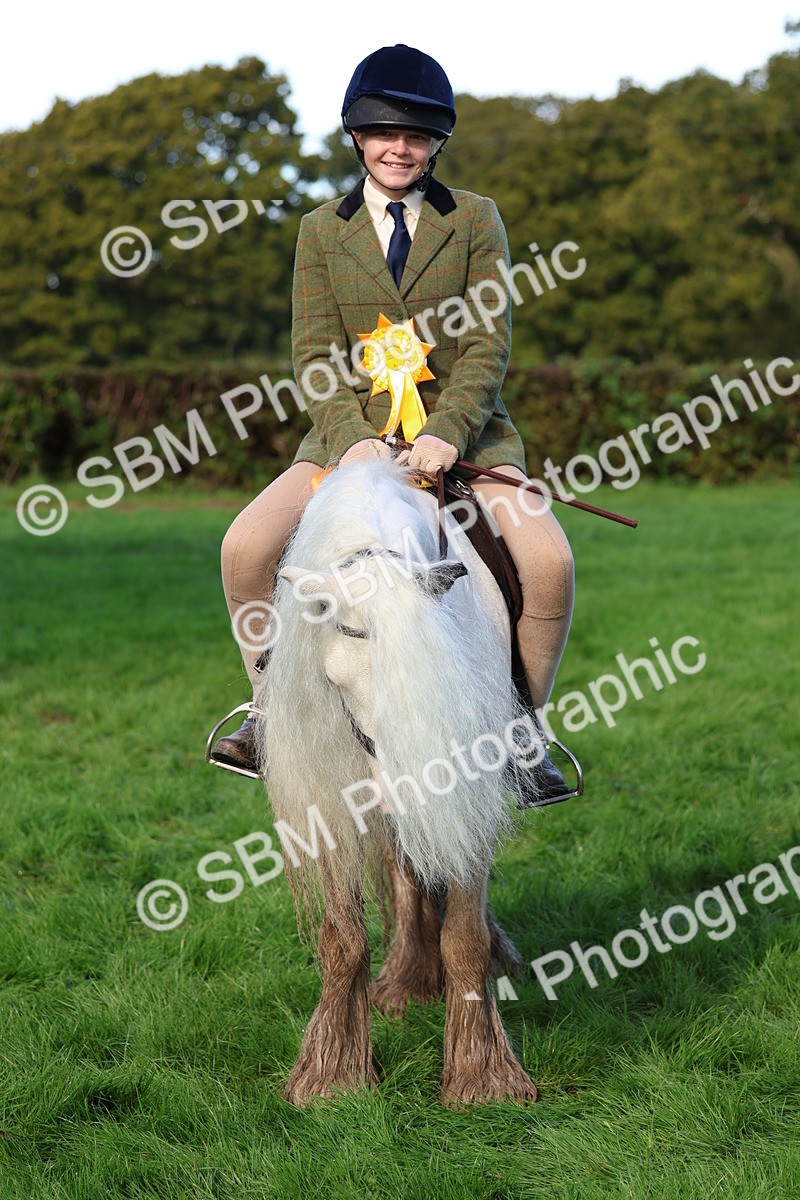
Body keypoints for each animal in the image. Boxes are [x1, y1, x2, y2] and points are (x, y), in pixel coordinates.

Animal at [254, 457, 545, 1107]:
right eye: (340, 680)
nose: (402, 788)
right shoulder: (328, 797)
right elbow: (343, 938)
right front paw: (332, 1076)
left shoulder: (465, 781)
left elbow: (463, 936)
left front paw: (481, 1078)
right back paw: (406, 982)